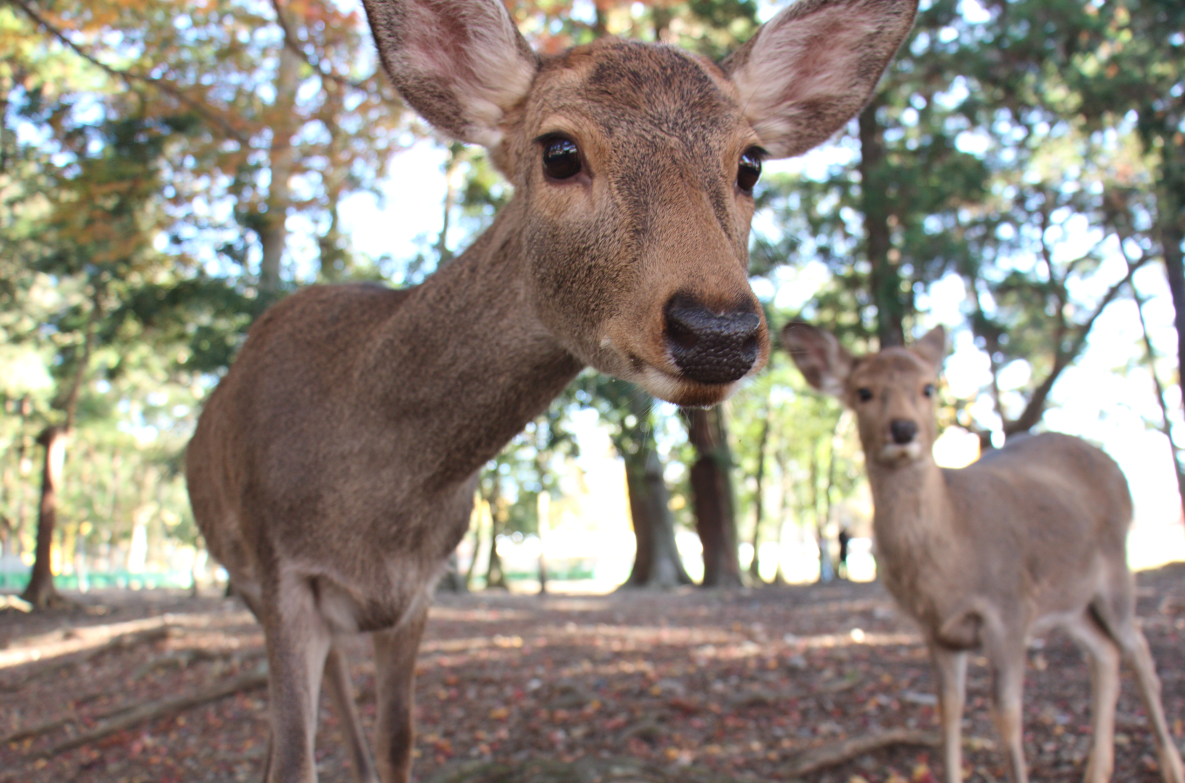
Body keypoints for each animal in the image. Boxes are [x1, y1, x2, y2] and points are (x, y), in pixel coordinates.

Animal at [184, 3, 919, 777]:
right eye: (559, 151)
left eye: (750, 161)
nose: (716, 331)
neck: (374, 503)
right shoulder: (279, 573)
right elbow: (295, 755)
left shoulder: (419, 589)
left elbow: (398, 740)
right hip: (242, 578)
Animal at [782, 319, 1180, 781]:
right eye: (863, 391)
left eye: (928, 387)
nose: (903, 429)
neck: (952, 563)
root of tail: (1117, 469)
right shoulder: (936, 630)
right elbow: (948, 710)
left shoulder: (1009, 608)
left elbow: (1006, 713)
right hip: (1071, 601)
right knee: (1105, 655)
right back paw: (1098, 770)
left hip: (1116, 570)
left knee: (1140, 652)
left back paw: (1171, 765)